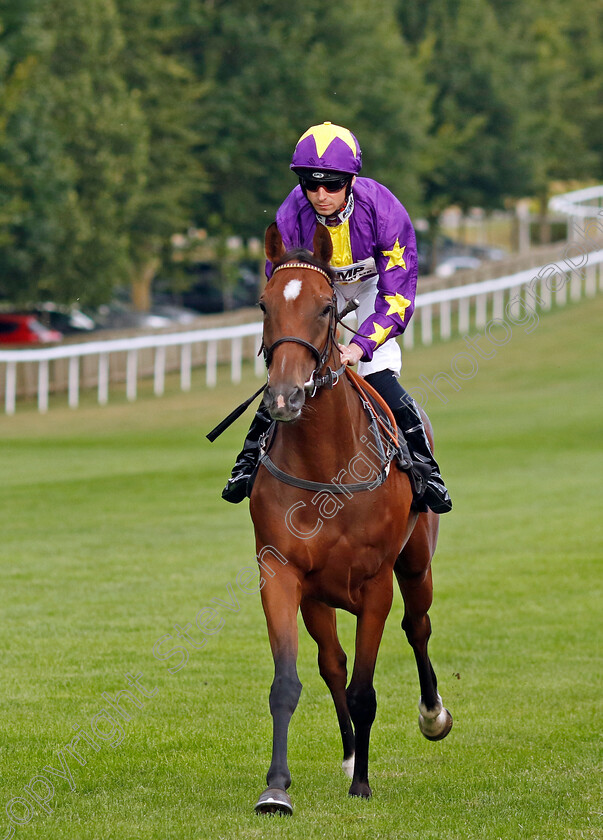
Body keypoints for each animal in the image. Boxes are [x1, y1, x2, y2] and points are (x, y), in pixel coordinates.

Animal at [248, 221, 450, 812]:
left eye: (324, 307)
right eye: (265, 304)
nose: (285, 397)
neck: (327, 466)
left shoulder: (375, 582)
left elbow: (365, 688)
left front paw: (362, 782)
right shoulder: (281, 573)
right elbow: (291, 683)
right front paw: (276, 788)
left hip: (416, 562)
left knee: (418, 626)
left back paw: (433, 716)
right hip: (318, 598)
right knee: (331, 663)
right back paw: (347, 752)